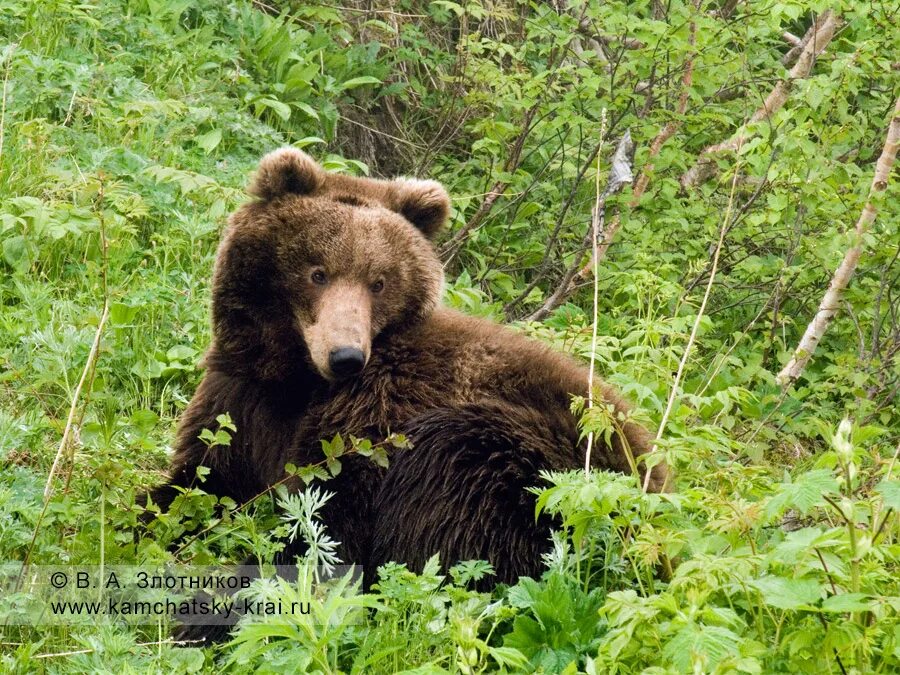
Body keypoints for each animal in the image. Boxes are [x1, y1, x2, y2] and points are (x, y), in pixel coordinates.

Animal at [148, 148, 668, 592]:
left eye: (378, 282)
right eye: (318, 272)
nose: (346, 356)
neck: (299, 379)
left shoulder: (373, 416)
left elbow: (327, 532)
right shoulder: (241, 399)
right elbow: (197, 481)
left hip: (545, 472)